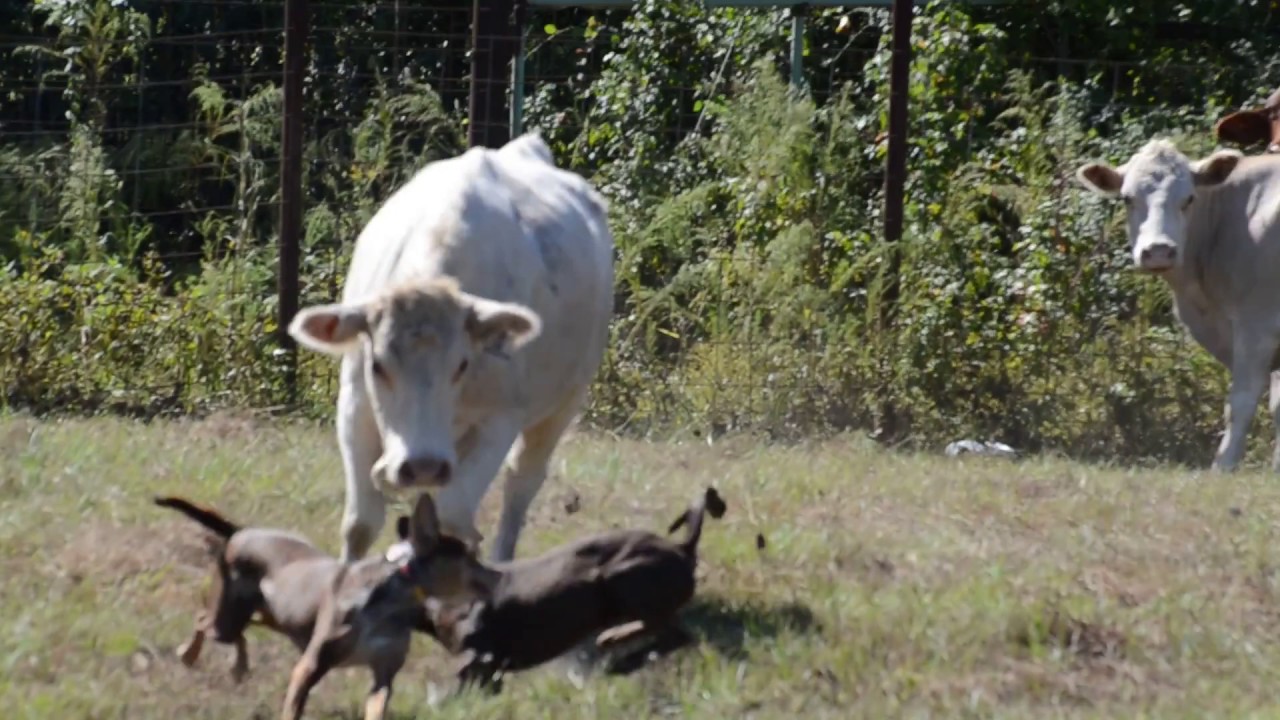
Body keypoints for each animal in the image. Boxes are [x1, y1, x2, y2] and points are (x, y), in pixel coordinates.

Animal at [289, 133, 614, 561]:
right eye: (377, 365)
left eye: (462, 365)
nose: (422, 464)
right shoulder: (355, 406)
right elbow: (360, 524)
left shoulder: (502, 417)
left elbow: (453, 512)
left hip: (562, 405)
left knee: (521, 482)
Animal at [394, 484, 727, 691]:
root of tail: (683, 549)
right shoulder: (489, 672)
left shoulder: (479, 658)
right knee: (670, 633)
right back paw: (622, 657)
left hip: (619, 578)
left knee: (670, 630)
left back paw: (615, 642)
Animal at [1075, 139, 1280, 471]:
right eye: (1127, 198)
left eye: (1189, 198)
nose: (1159, 251)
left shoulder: (1257, 325)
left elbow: (1241, 401)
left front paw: (1222, 467)